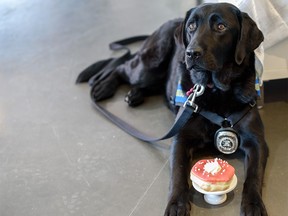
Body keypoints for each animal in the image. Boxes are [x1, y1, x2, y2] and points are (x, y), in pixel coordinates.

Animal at [76, 2, 268, 216]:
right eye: (191, 26)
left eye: (221, 27)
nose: (191, 53)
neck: (216, 90)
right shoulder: (181, 139)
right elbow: (178, 173)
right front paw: (177, 203)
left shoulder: (257, 142)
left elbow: (253, 176)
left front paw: (253, 204)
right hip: (148, 66)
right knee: (122, 68)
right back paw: (103, 87)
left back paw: (134, 95)